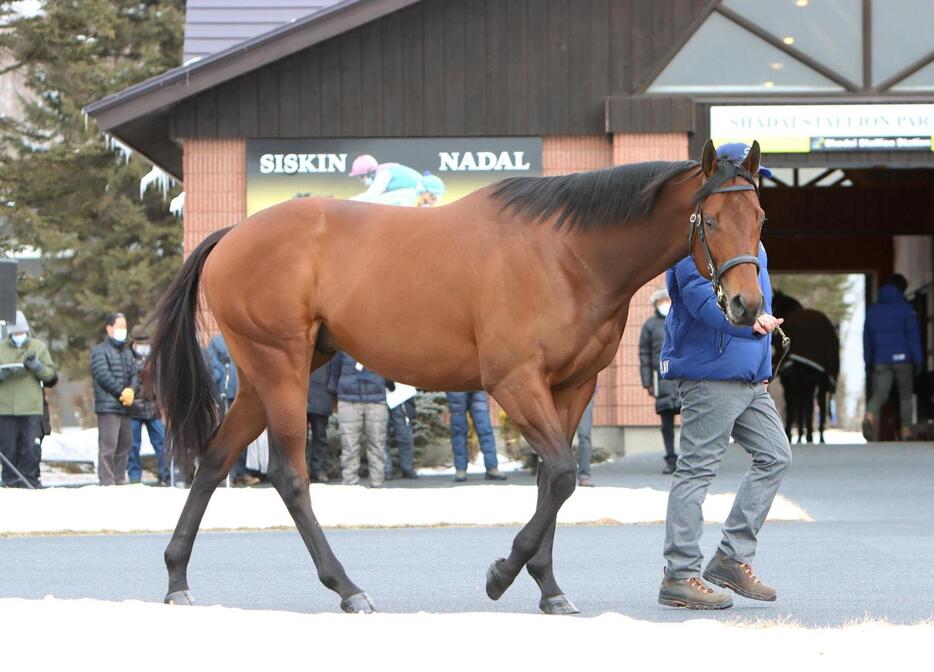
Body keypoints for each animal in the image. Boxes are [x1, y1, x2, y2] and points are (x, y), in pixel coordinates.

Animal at [150, 138, 772, 616]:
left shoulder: (573, 388)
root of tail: (232, 235)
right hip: (280, 366)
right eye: (710, 219)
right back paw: (347, 588)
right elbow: (562, 474)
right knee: (288, 474)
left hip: (264, 375)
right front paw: (503, 573)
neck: (568, 254)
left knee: (214, 458)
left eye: (760, 219)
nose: (747, 305)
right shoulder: (513, 382)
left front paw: (548, 588)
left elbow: (552, 480)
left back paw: (177, 579)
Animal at [776, 292, 840, 444]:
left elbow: (793, 406)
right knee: (820, 405)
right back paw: (819, 436)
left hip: (807, 380)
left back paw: (808, 435)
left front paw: (792, 434)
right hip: (821, 380)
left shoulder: (791, 383)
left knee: (807, 406)